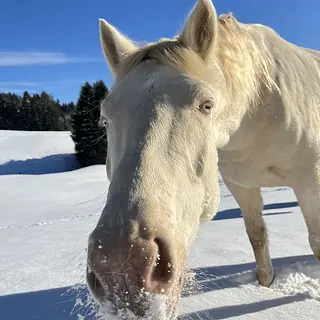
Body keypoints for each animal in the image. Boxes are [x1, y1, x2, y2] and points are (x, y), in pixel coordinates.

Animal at [85, 0, 320, 318]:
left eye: (206, 105)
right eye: (104, 119)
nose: (123, 268)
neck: (259, 108)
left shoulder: (309, 180)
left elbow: (316, 242)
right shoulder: (241, 184)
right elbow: (257, 235)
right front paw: (265, 283)